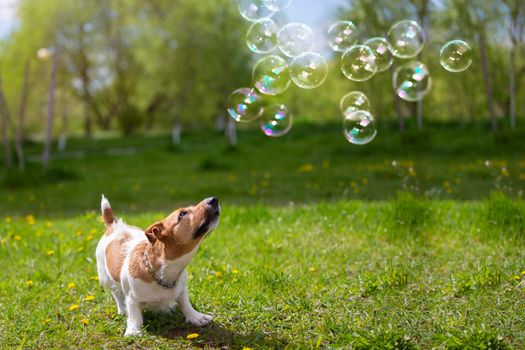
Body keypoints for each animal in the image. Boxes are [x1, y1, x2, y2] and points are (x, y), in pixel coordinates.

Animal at [95, 196, 219, 334]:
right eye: (182, 214)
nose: (214, 199)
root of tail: (114, 225)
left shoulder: (181, 289)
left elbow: (185, 302)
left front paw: (195, 317)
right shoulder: (132, 298)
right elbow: (134, 315)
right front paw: (133, 331)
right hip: (105, 278)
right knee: (116, 293)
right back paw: (122, 309)